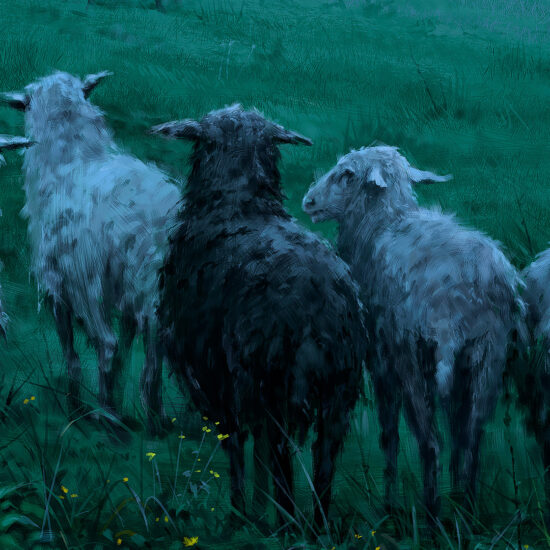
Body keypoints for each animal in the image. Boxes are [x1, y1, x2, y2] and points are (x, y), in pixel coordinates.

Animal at [1, 72, 182, 436]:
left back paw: (105, 416)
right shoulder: (128, 296)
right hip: (158, 292)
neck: (72, 157)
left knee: (106, 343)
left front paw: (75, 405)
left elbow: (71, 353)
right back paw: (154, 419)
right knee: (154, 353)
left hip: (89, 282)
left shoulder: (58, 285)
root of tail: (157, 223)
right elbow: (127, 351)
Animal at [150, 105, 370, 528]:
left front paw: (241, 514)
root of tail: (317, 302)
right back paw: (318, 526)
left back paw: (285, 523)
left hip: (271, 377)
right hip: (338, 389)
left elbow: (237, 446)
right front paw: (254, 509)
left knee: (279, 453)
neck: (239, 205)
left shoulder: (213, 373)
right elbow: (257, 452)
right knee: (323, 459)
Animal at [304, 144, 528, 520]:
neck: (383, 225)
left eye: (347, 174)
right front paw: (456, 491)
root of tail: (467, 290)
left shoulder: (380, 358)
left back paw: (430, 515)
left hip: (414, 353)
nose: (308, 201)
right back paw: (466, 512)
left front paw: (389, 502)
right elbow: (458, 434)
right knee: (471, 438)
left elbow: (389, 434)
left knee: (430, 442)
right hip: (487, 356)